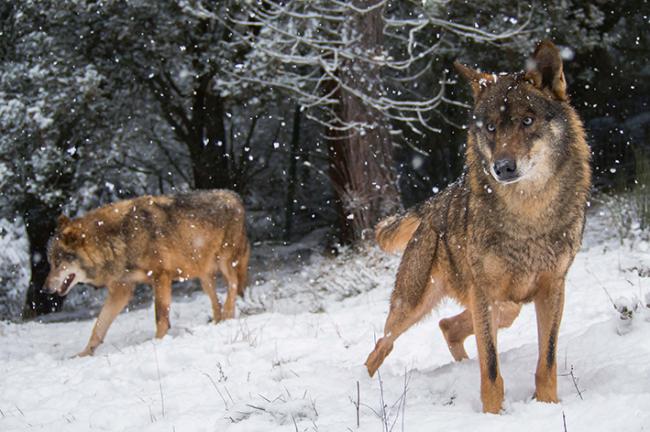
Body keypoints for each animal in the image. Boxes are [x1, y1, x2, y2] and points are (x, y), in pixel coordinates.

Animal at [44, 188, 249, 354]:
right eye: (50, 263)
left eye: (58, 262)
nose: (44, 289)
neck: (120, 239)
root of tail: (235, 196)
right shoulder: (121, 290)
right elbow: (98, 326)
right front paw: (83, 354)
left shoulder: (160, 277)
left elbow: (160, 317)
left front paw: (158, 342)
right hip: (204, 277)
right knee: (216, 302)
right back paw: (219, 322)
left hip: (224, 262)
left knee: (233, 284)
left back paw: (228, 315)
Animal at [362, 41, 588, 416]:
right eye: (491, 127)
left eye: (527, 121)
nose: (503, 167)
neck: (528, 215)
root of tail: (432, 204)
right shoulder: (485, 293)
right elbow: (492, 369)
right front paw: (494, 416)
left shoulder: (554, 288)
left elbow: (547, 361)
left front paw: (548, 407)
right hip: (414, 306)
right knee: (381, 344)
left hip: (507, 307)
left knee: (448, 326)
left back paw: (461, 367)